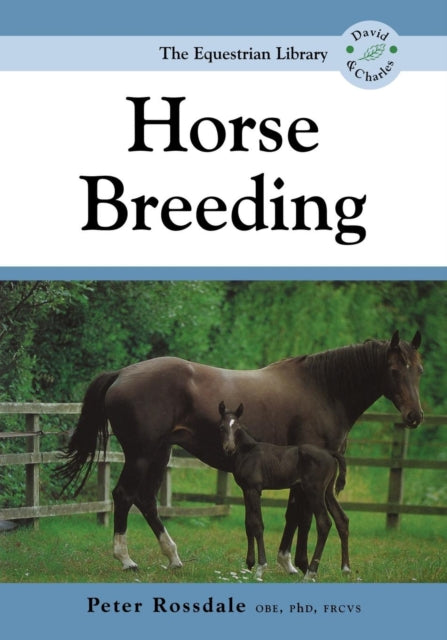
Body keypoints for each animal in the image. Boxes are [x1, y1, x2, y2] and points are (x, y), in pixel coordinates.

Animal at [218, 401, 349, 581]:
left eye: (237, 427)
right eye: (222, 427)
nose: (229, 448)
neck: (248, 451)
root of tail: (330, 453)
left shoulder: (254, 489)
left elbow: (257, 524)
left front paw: (260, 568)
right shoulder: (246, 490)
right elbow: (248, 523)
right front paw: (249, 565)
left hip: (314, 491)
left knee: (324, 523)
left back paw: (310, 573)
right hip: (327, 492)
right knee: (342, 519)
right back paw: (346, 569)